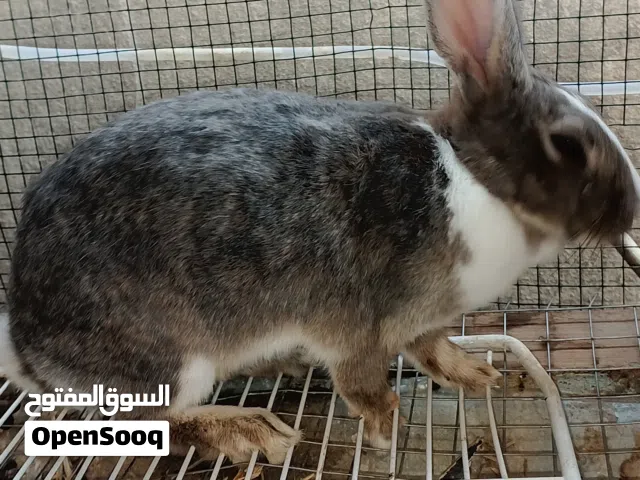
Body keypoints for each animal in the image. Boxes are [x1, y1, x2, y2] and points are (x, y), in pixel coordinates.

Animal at [2, 0, 640, 463]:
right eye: (567, 144)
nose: (630, 212)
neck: (469, 181)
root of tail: (28, 349)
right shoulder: (360, 327)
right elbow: (364, 382)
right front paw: (384, 428)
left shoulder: (421, 320)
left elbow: (432, 348)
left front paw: (474, 372)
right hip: (170, 359)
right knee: (145, 420)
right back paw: (252, 431)